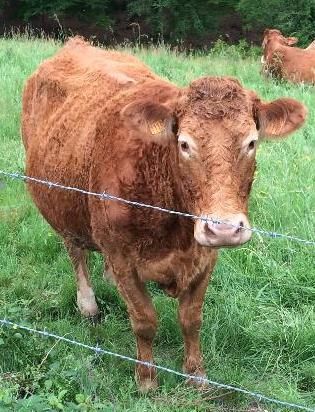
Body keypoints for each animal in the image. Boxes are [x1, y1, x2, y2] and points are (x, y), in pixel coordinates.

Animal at [22, 37, 308, 392]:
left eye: (251, 142)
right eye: (184, 144)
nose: (223, 229)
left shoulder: (205, 257)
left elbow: (191, 319)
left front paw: (196, 375)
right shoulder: (122, 258)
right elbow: (144, 320)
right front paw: (146, 379)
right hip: (62, 206)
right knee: (75, 251)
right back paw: (88, 305)